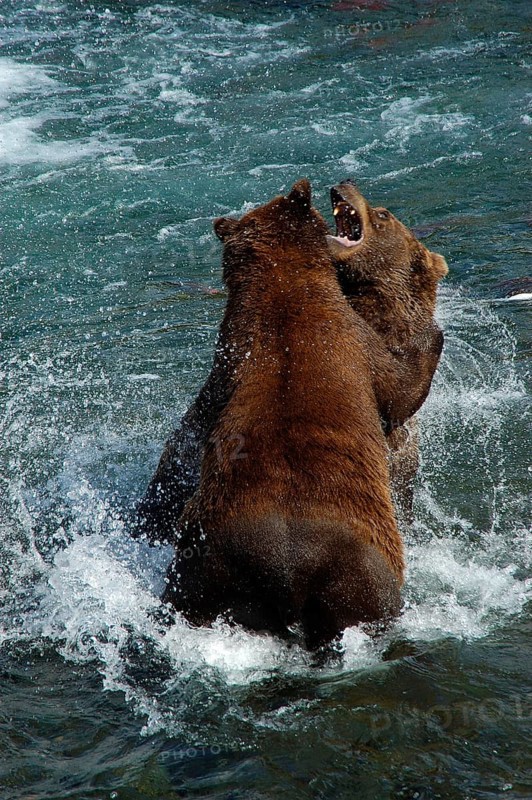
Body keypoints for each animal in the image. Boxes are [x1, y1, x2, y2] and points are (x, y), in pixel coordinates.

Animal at [159, 179, 427, 648]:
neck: (285, 288)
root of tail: (287, 571)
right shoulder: (355, 342)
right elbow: (400, 388)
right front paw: (431, 336)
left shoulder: (227, 363)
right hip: (362, 573)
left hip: (204, 566)